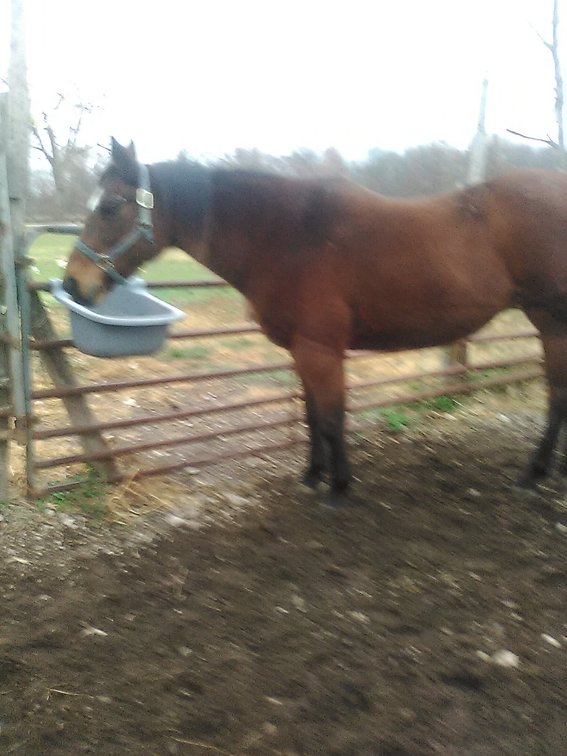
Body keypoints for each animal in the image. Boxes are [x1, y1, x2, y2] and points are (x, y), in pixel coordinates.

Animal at [63, 138, 567, 505]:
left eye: (110, 207)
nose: (72, 284)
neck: (287, 236)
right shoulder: (302, 350)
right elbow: (310, 416)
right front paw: (312, 475)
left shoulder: (320, 349)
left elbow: (331, 417)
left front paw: (339, 487)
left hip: (553, 322)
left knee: (557, 395)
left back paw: (533, 473)